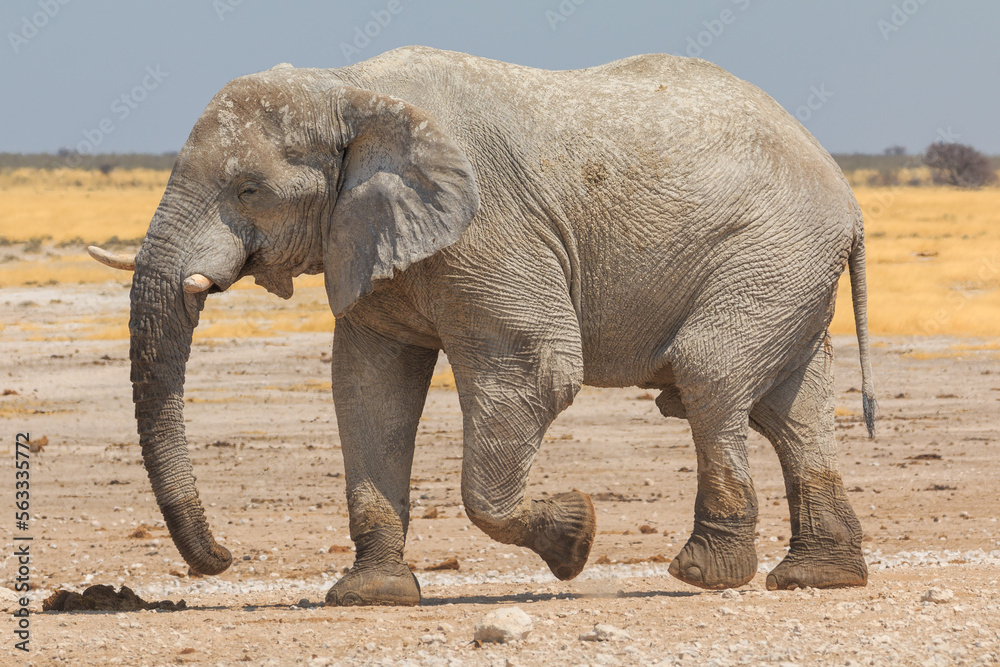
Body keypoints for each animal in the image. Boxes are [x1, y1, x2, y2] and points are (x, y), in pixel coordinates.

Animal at [89, 46, 876, 606]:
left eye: (248, 188)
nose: (223, 558)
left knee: (710, 374)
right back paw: (816, 578)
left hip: (772, 250)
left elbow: (536, 370)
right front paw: (370, 596)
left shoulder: (492, 231)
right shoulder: (369, 240)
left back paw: (703, 574)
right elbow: (367, 388)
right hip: (788, 268)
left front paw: (576, 537)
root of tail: (846, 193)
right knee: (792, 409)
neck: (350, 90)